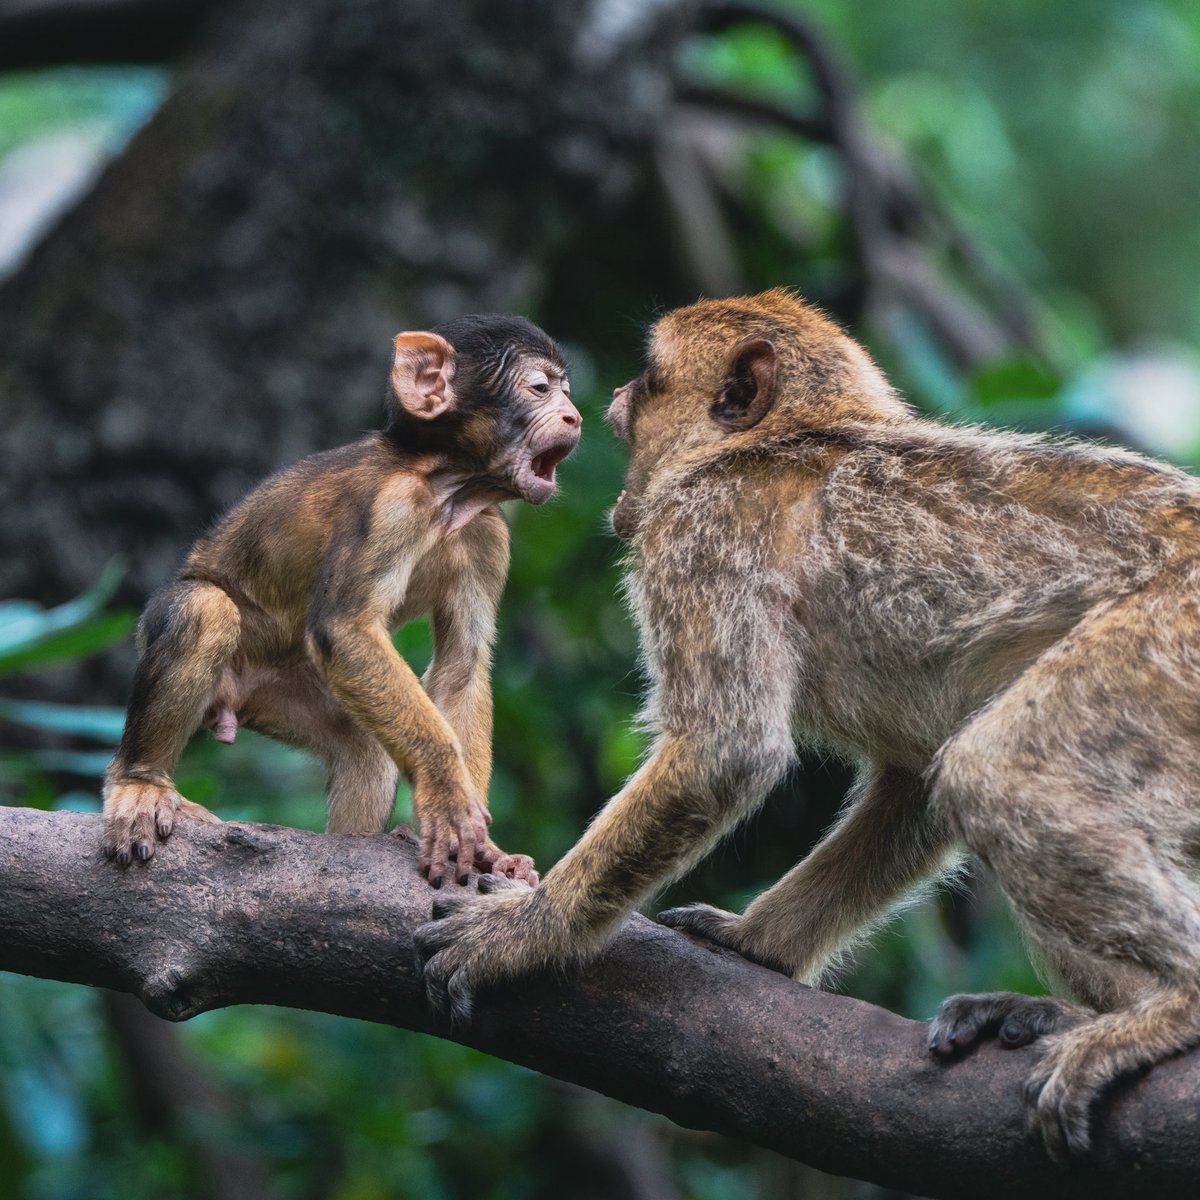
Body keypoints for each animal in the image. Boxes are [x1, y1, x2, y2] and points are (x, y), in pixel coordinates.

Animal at [102, 314, 580, 889]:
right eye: (541, 388)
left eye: (566, 390)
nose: (574, 416)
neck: (445, 486)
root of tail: (233, 697)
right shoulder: (391, 506)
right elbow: (345, 629)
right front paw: (448, 796)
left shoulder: (489, 535)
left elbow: (461, 666)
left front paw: (487, 849)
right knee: (203, 609)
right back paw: (141, 783)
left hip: (278, 691)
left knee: (363, 746)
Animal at [415, 288, 1200, 1159]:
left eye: (648, 378)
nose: (611, 395)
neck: (780, 442)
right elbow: (912, 782)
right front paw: (758, 942)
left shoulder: (700, 532)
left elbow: (726, 750)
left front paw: (527, 933)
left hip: (1170, 647)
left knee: (998, 771)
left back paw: (1175, 1006)